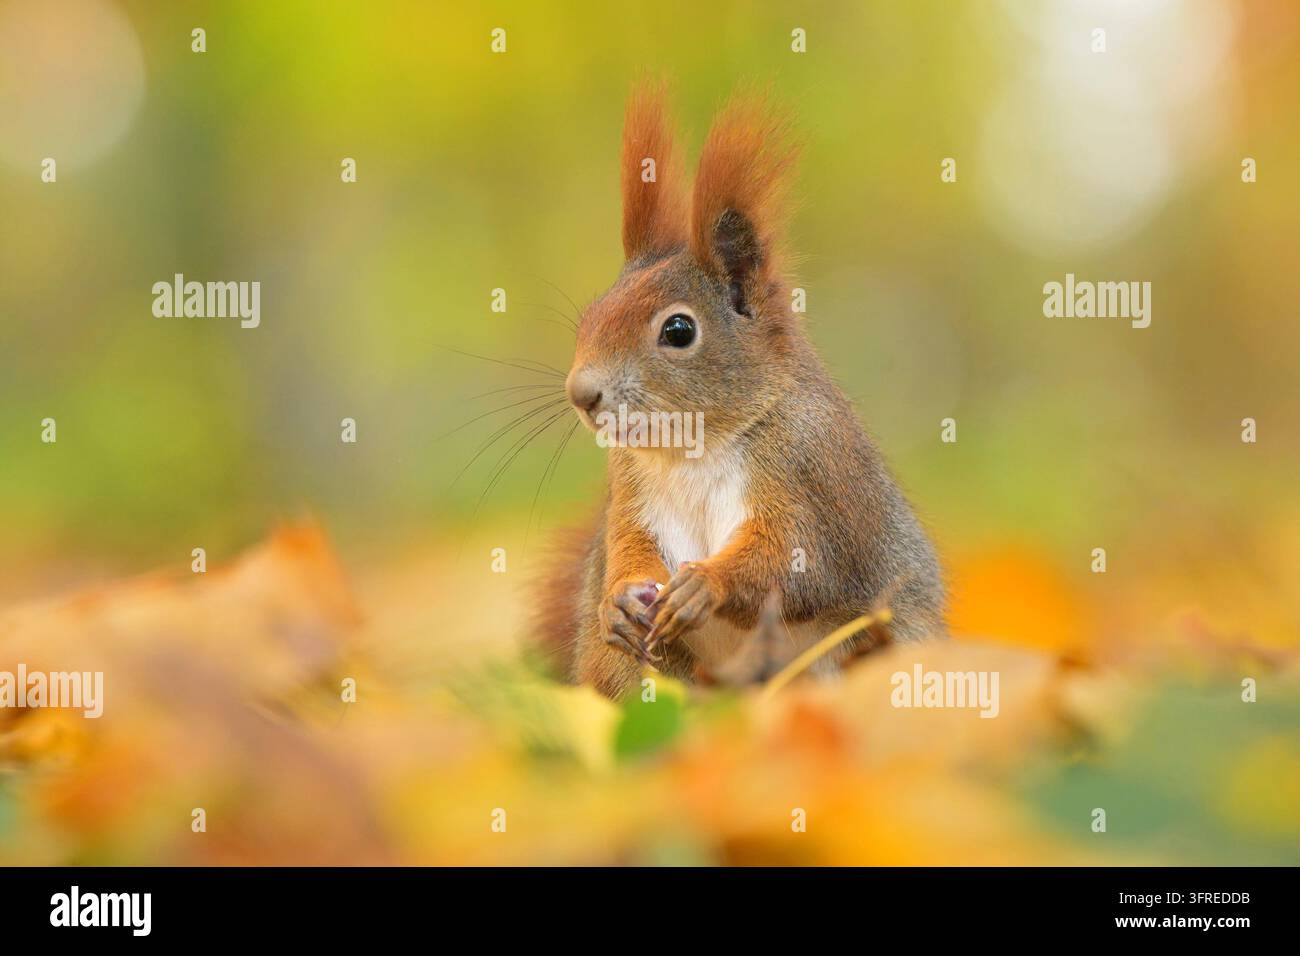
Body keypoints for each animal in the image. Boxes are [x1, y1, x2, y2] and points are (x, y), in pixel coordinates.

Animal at [534, 84, 945, 698]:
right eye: (591, 316)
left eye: (679, 330)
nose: (581, 394)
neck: (692, 449)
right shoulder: (630, 491)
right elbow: (626, 546)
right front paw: (618, 599)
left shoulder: (810, 471)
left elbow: (801, 564)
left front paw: (705, 584)